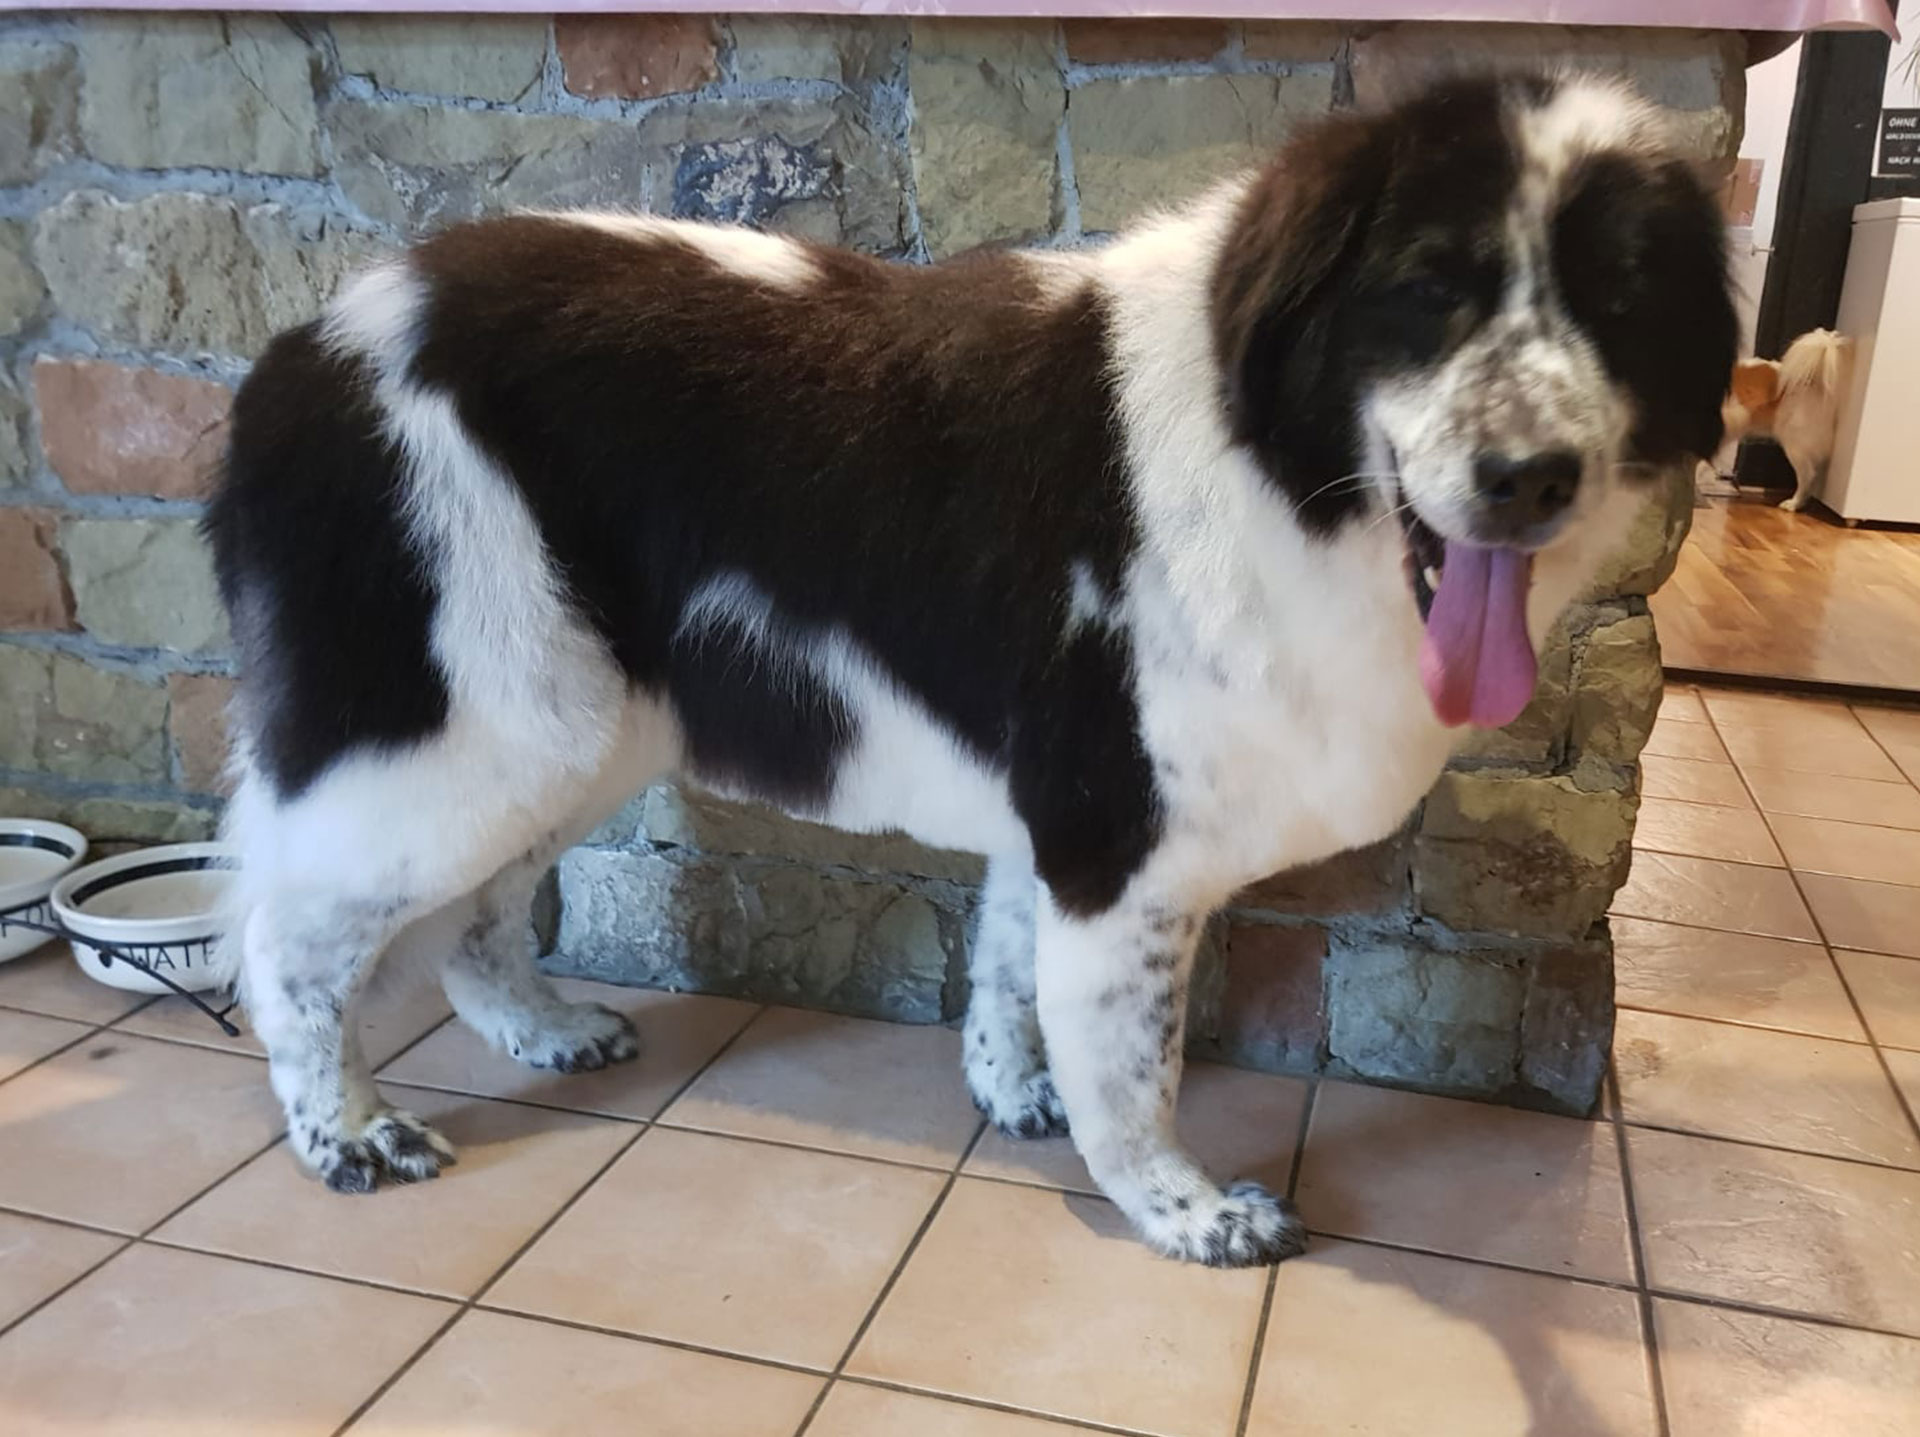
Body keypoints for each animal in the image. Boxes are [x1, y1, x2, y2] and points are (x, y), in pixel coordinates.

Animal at [204, 73, 1736, 1267]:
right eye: (1426, 293)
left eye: (1620, 303)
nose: (1530, 476)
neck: (1274, 464)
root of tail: (303, 351)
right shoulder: (1120, 837)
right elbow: (1134, 1060)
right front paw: (1182, 1211)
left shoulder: (1054, 815)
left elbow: (1010, 971)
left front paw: (1012, 1095)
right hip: (481, 729)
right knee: (288, 937)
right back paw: (345, 1135)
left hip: (571, 729)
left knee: (470, 917)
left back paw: (536, 1028)